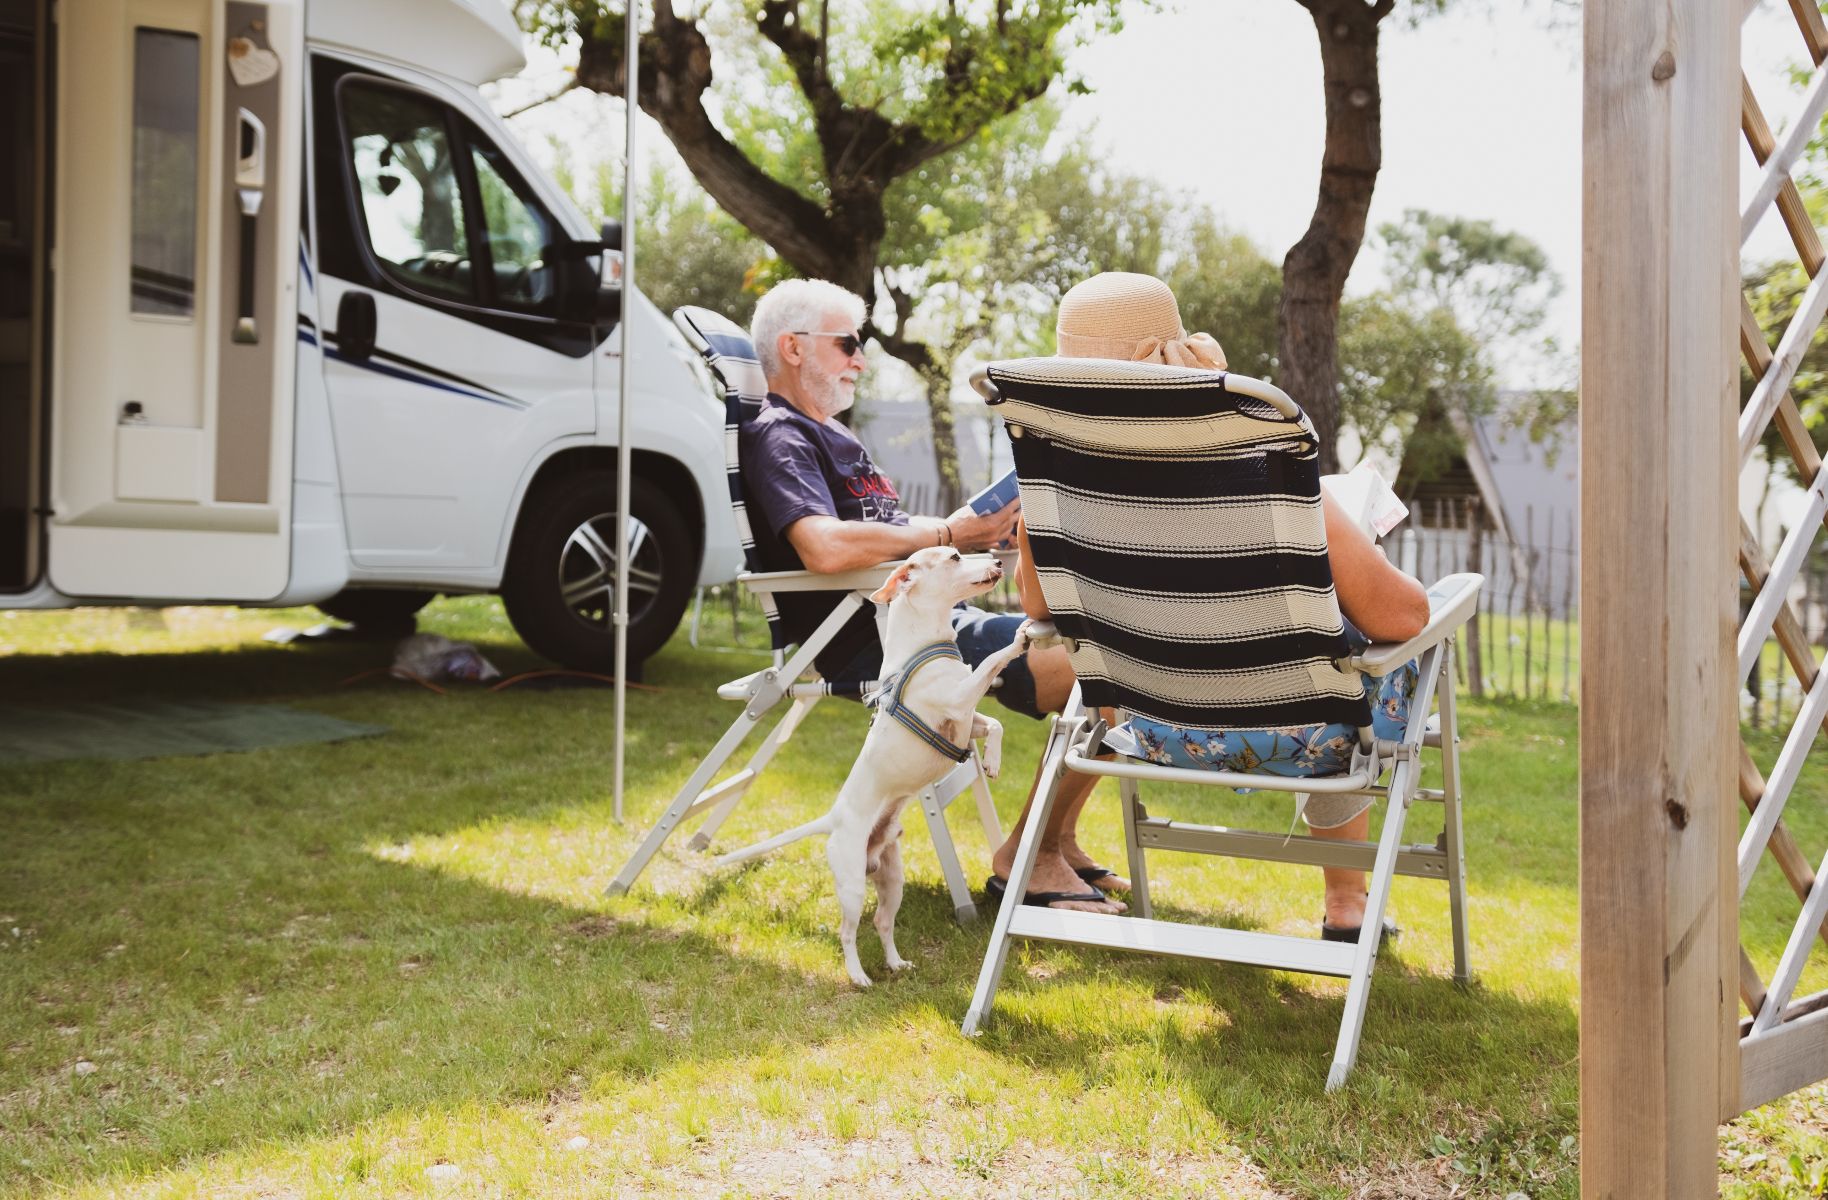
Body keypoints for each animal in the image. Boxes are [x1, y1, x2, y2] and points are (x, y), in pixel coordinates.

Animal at [712, 548, 1030, 987]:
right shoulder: (958, 701)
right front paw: (1018, 642)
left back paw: (895, 963)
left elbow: (995, 724)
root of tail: (833, 819)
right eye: (954, 556)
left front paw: (993, 762)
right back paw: (858, 975)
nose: (1000, 563)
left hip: (891, 880)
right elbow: (991, 664)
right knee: (846, 931)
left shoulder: (965, 720)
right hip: (851, 887)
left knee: (882, 921)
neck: (927, 644)